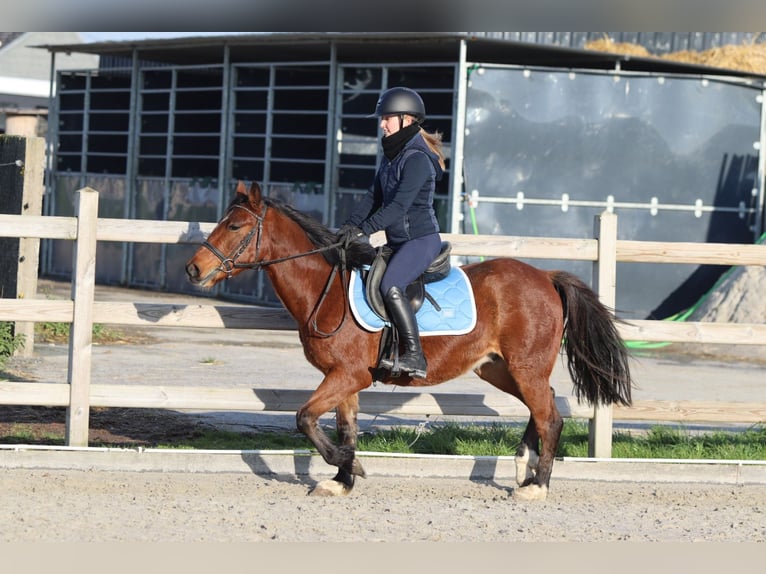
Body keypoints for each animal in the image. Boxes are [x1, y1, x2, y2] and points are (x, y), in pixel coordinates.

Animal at [185, 181, 633, 500]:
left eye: (235, 226)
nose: (193, 269)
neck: (326, 290)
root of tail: (546, 276)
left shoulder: (349, 375)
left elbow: (304, 417)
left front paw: (350, 466)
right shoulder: (343, 378)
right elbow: (344, 427)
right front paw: (342, 479)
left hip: (526, 366)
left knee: (550, 416)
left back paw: (537, 486)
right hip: (499, 369)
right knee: (542, 407)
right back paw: (523, 467)